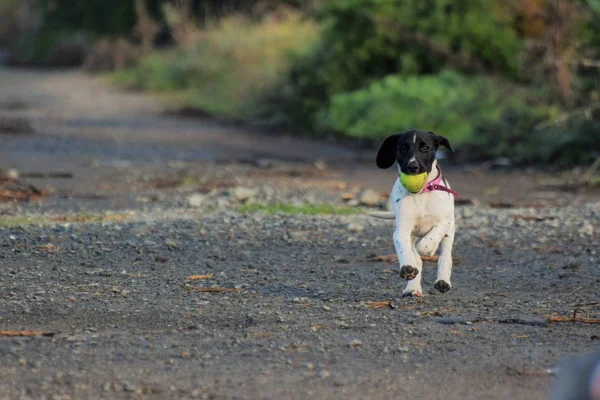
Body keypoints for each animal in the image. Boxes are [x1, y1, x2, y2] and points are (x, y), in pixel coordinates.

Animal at [370, 129, 454, 296]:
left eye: (425, 148)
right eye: (403, 148)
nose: (412, 166)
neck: (421, 193)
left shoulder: (444, 220)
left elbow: (431, 239)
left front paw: (428, 248)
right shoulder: (402, 230)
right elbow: (405, 250)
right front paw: (407, 268)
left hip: (450, 231)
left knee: (445, 257)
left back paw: (443, 281)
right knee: (417, 259)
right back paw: (412, 288)